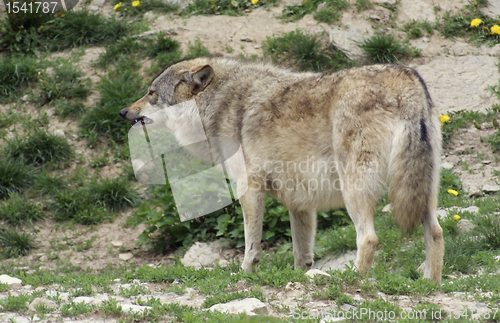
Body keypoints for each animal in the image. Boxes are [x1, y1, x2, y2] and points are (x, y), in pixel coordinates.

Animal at [119, 57, 444, 284]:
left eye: (150, 93)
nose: (123, 111)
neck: (218, 103)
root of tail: (406, 78)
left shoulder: (249, 188)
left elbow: (251, 244)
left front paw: (245, 274)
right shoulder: (300, 202)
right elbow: (302, 253)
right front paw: (301, 277)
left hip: (355, 189)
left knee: (369, 238)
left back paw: (353, 279)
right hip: (423, 190)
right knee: (436, 232)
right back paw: (429, 284)